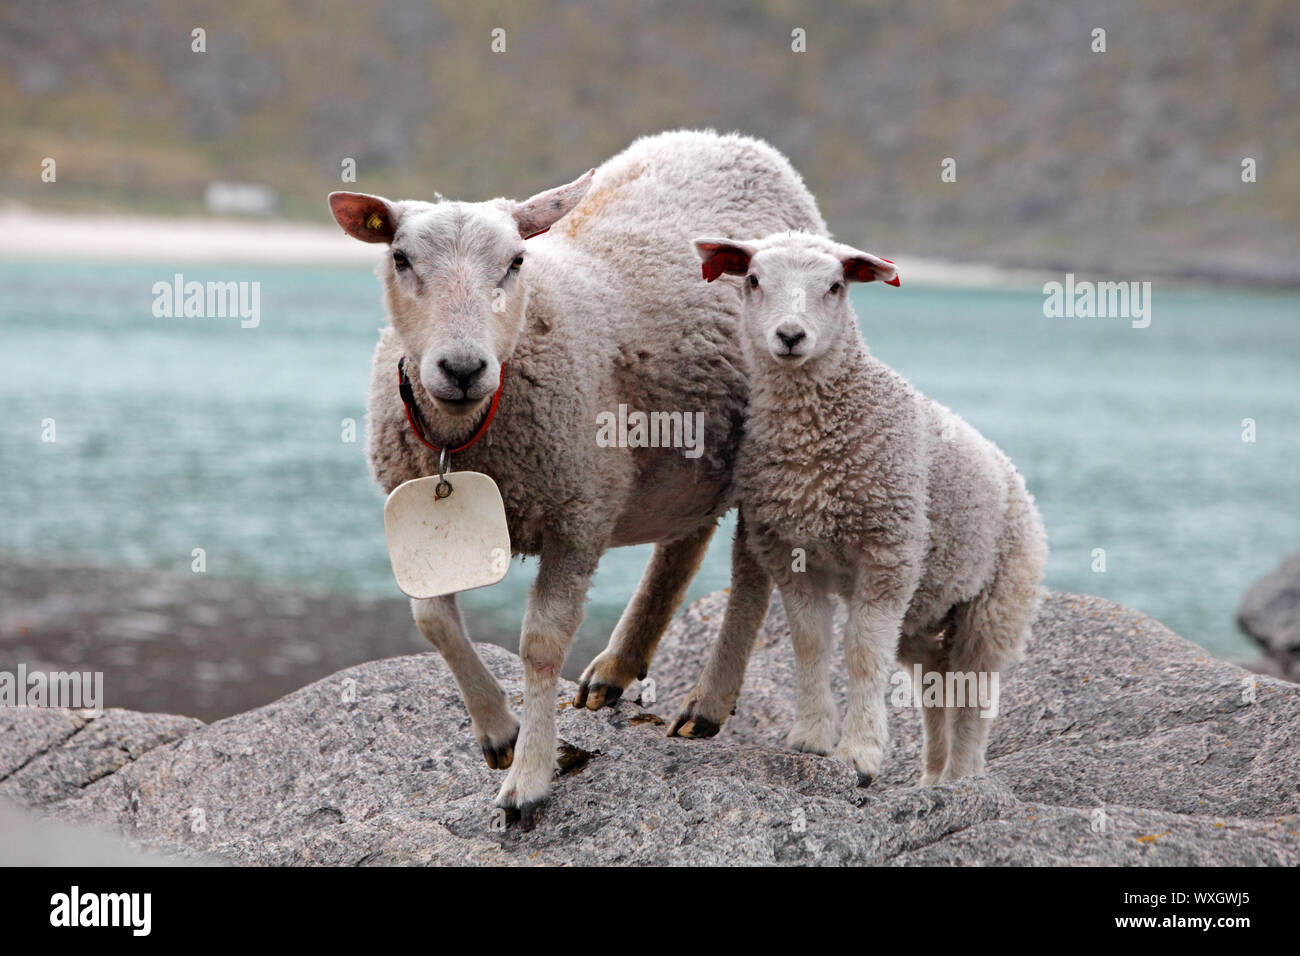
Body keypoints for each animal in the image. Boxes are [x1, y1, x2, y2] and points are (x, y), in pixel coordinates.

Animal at [328, 131, 826, 825]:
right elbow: (433, 623)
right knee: (685, 541)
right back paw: (618, 666)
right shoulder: (416, 521)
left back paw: (707, 702)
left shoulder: (579, 511)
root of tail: (738, 143)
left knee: (750, 567)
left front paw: (530, 777)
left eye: (516, 261)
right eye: (400, 258)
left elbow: (541, 644)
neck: (466, 437)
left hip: (768, 435)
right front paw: (500, 733)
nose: (463, 368)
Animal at [688, 231, 1048, 786]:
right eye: (753, 280)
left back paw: (963, 778)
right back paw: (932, 778)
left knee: (973, 691)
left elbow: (861, 653)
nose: (790, 336)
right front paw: (811, 738)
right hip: (926, 611)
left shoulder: (889, 552)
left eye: (836, 286)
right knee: (936, 685)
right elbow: (811, 643)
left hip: (997, 603)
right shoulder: (788, 550)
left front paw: (859, 754)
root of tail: (1015, 478)